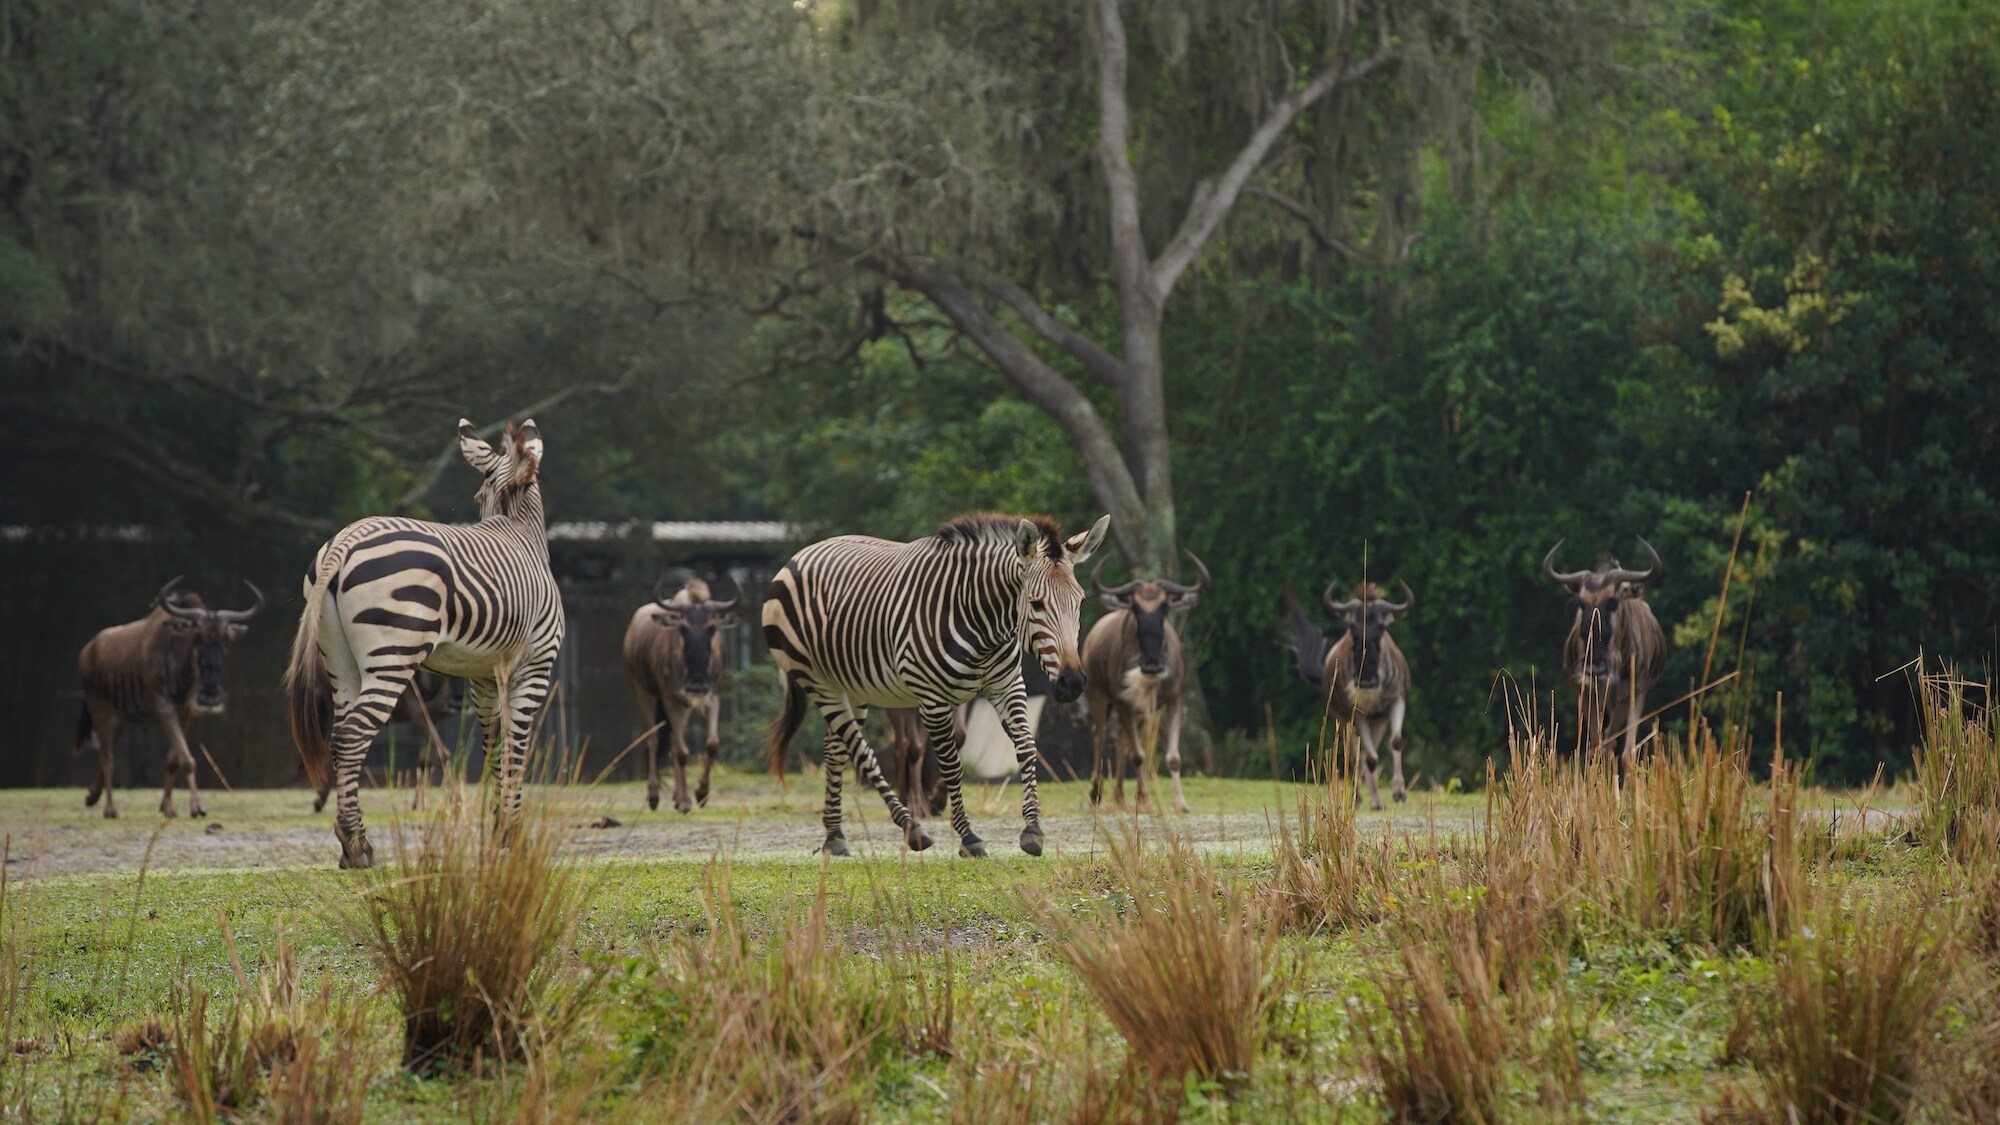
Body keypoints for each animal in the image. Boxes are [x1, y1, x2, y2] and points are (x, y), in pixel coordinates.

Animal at [282, 420, 568, 868]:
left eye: (476, 497)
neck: (519, 531)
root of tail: (345, 539)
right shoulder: (536, 667)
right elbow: (516, 749)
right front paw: (512, 835)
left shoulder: (482, 678)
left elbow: (492, 747)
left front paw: (495, 831)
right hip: (392, 654)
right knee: (353, 735)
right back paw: (356, 846)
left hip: (339, 660)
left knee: (340, 736)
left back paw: (351, 845)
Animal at [760, 512, 1112, 852]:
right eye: (1037, 603)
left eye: (1080, 602)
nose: (1072, 682)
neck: (982, 624)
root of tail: (803, 553)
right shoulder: (933, 700)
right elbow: (952, 764)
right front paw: (968, 837)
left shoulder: (1007, 685)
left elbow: (1026, 746)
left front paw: (1033, 830)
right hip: (816, 679)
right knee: (861, 749)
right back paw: (911, 827)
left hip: (852, 685)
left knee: (836, 747)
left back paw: (835, 836)